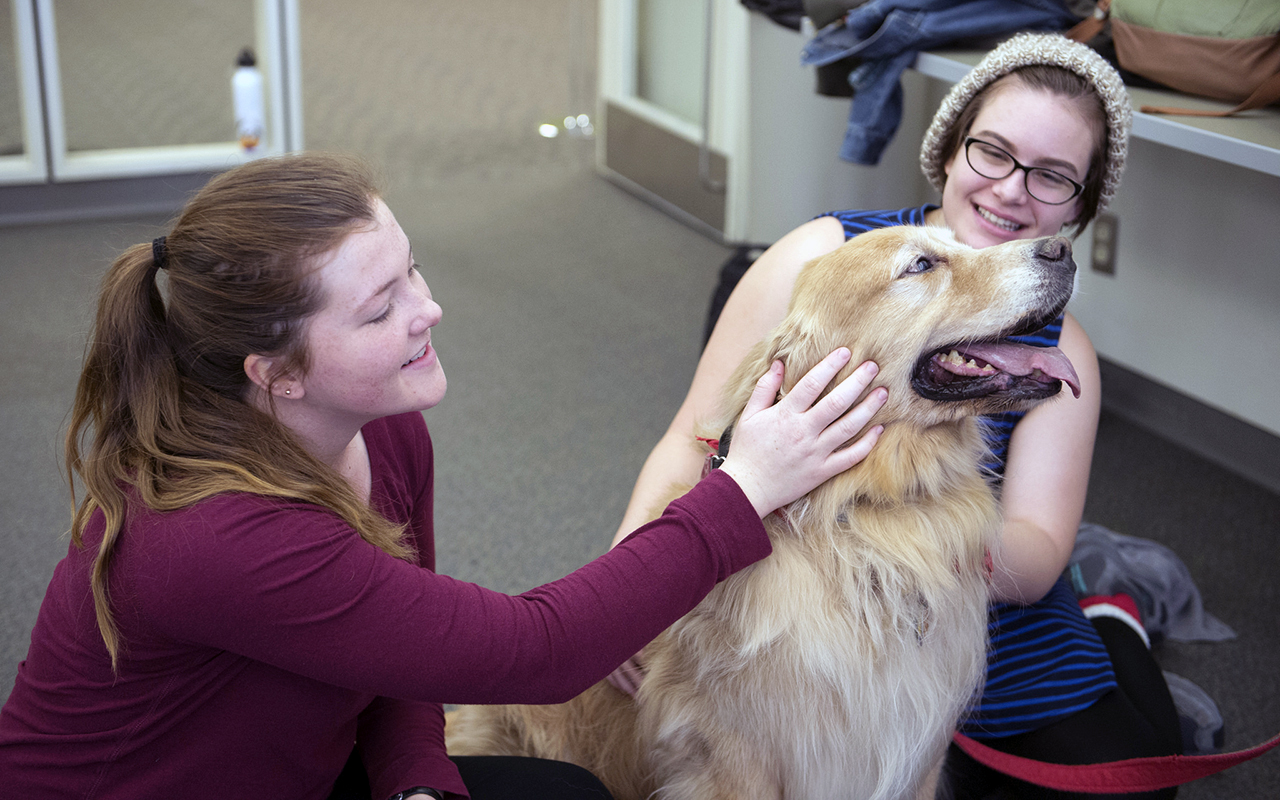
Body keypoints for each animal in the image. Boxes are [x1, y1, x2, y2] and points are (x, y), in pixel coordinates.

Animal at [448, 225, 1080, 798]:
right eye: (921, 264)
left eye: (963, 242)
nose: (1063, 248)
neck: (858, 515)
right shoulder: (738, 762)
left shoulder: (918, 755)